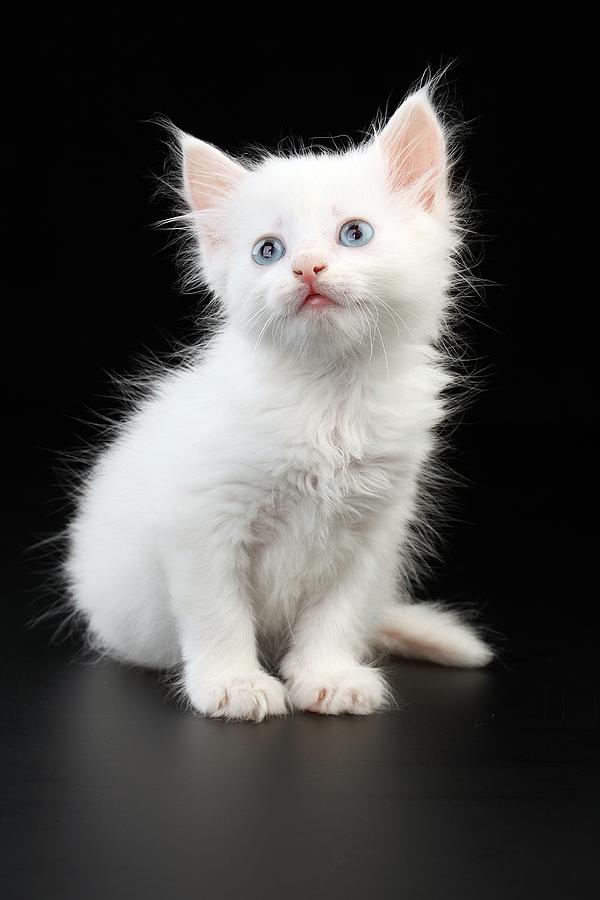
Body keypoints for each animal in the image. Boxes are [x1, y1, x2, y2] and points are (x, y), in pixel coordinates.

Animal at [65, 81, 492, 720]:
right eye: (268, 250)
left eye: (355, 234)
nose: (307, 267)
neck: (328, 397)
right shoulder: (202, 522)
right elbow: (219, 615)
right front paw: (234, 685)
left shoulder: (374, 531)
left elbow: (336, 615)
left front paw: (328, 677)